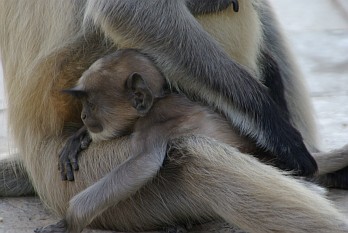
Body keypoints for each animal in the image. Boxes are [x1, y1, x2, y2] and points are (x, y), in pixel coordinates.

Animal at [59, 48, 254, 181]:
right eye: (84, 104)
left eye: (91, 105)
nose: (83, 116)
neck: (157, 102)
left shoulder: (151, 124)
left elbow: (144, 164)